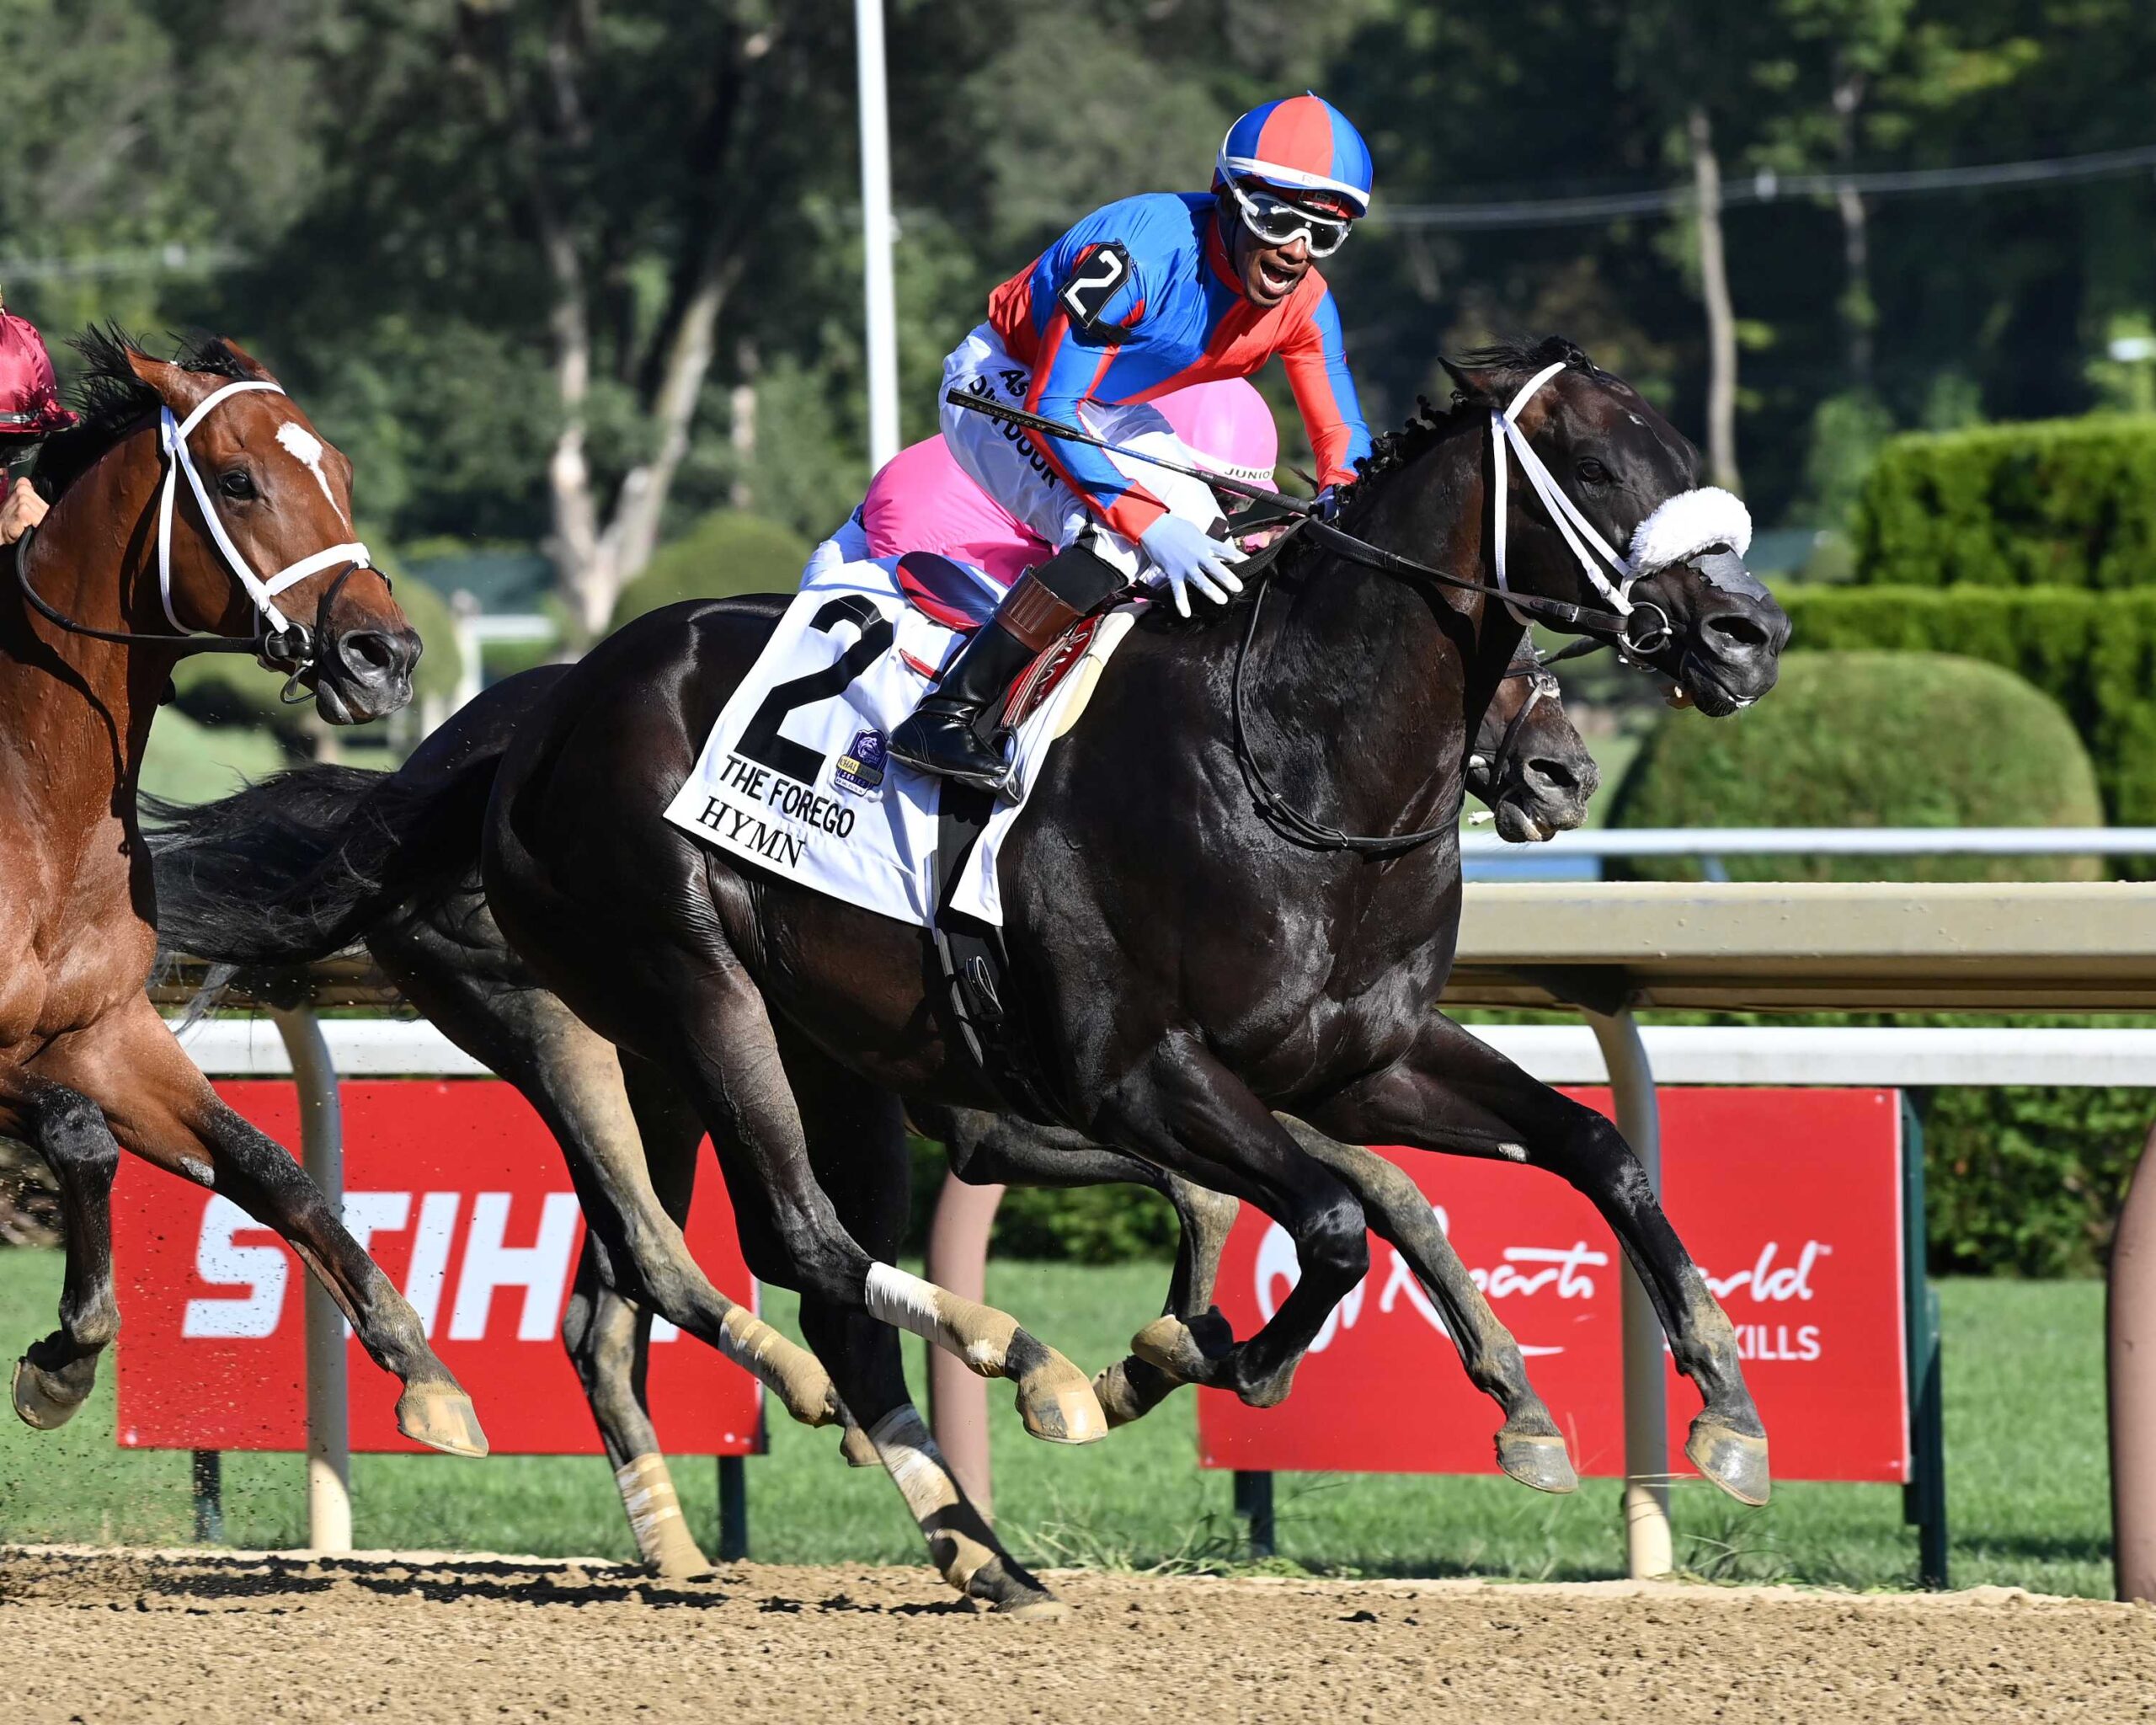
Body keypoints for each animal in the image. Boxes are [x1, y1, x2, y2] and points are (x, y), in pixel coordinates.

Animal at [0, 330, 484, 1457]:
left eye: (340, 471)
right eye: (236, 480)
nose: (386, 654)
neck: (41, 794)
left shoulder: (103, 1032)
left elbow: (273, 1166)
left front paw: (421, 1364)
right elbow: (80, 1133)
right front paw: (66, 1353)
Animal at [458, 336, 1784, 1609]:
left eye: (1680, 455)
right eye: (1598, 468)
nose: (1752, 635)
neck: (1293, 757)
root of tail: (549, 710)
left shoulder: (1365, 1061)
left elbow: (1594, 1148)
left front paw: (1724, 1405)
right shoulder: (1136, 1075)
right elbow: (1334, 1224)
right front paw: (1200, 1354)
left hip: (812, 1041)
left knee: (800, 1284)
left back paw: (985, 1552)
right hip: (693, 984)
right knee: (797, 1243)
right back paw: (1023, 1367)